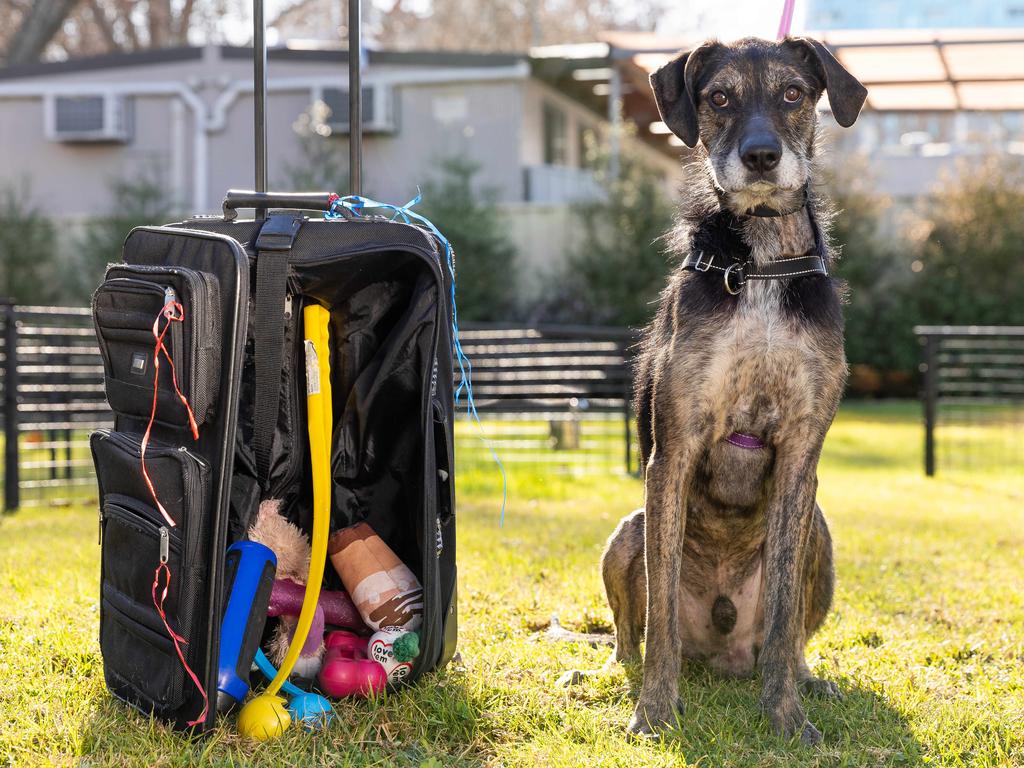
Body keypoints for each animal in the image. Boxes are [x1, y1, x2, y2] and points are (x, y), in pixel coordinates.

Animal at [581, 39, 868, 749]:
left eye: (794, 93)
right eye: (719, 98)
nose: (761, 156)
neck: (760, 263)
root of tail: (720, 655)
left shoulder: (800, 459)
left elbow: (786, 616)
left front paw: (787, 717)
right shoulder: (674, 451)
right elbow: (657, 618)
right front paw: (655, 712)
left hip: (820, 535)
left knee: (785, 638)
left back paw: (804, 678)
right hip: (627, 533)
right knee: (632, 637)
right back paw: (618, 673)